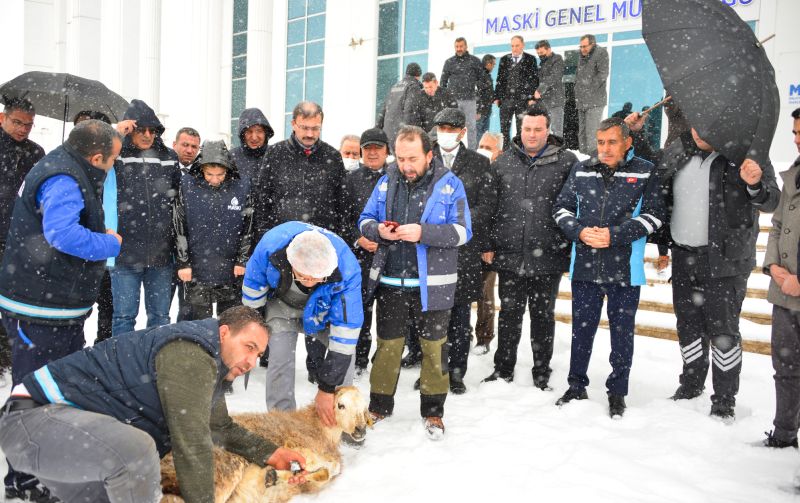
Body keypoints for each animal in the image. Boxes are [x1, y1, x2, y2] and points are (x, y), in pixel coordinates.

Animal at [163, 388, 376, 502]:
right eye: (341, 405)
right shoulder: (296, 444)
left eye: (363, 407)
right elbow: (325, 464)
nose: (360, 430)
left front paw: (279, 477)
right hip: (223, 468)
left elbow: (325, 472)